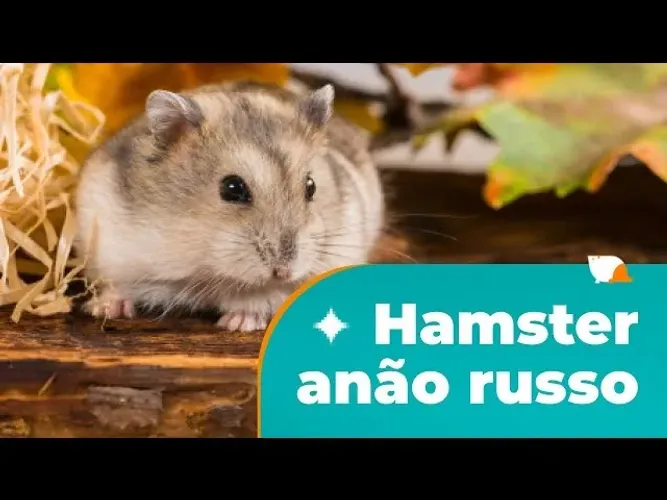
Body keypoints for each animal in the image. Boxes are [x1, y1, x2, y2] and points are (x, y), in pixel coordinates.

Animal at [73, 81, 385, 331]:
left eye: (311, 186)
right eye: (232, 188)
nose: (284, 271)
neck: (207, 268)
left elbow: (263, 296)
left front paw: (237, 323)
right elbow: (116, 285)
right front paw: (103, 309)